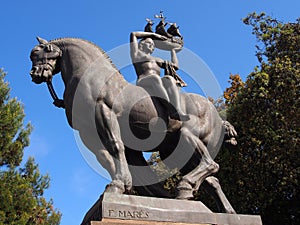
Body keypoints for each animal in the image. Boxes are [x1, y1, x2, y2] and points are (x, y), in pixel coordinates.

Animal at [29, 36, 238, 213]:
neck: (89, 76)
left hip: (188, 136)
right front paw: (122, 186)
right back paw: (223, 210)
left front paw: (118, 185)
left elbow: (115, 146)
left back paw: (185, 187)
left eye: (39, 52)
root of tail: (217, 115)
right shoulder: (86, 132)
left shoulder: (103, 112)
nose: (35, 74)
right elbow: (106, 157)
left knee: (211, 164)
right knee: (212, 179)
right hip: (174, 150)